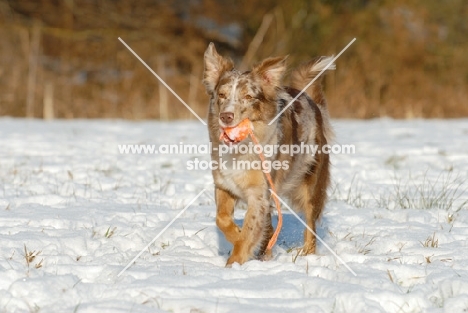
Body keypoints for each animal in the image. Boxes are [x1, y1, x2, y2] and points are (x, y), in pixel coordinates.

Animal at [203, 42, 334, 266]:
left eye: (248, 97)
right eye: (221, 95)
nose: (226, 116)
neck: (241, 148)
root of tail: (309, 99)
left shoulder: (259, 195)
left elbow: (248, 233)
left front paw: (233, 264)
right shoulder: (224, 184)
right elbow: (222, 219)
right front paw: (239, 237)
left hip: (312, 185)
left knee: (310, 227)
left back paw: (306, 256)